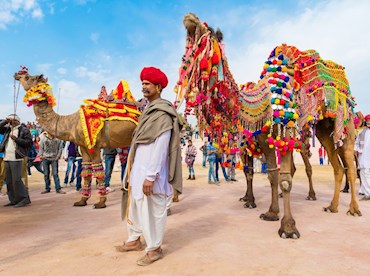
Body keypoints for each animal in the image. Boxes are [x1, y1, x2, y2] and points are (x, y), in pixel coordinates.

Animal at [13, 67, 139, 209]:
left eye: (28, 77)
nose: (17, 74)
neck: (71, 123)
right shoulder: (84, 147)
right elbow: (86, 172)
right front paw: (82, 201)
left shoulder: (94, 146)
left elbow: (99, 172)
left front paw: (101, 203)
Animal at [176, 12, 362, 238]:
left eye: (207, 33)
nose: (189, 19)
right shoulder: (264, 140)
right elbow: (271, 175)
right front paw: (270, 212)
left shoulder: (284, 132)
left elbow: (284, 179)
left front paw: (288, 227)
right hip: (323, 130)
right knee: (337, 167)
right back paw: (332, 206)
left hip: (342, 122)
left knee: (346, 165)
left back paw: (351, 208)